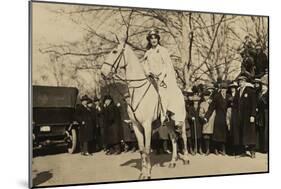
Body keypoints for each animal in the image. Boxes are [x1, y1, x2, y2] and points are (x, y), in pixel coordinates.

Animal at [100, 43, 188, 180]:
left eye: (114, 51)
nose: (102, 72)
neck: (138, 91)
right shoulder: (136, 126)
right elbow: (141, 150)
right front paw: (142, 173)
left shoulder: (147, 125)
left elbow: (147, 149)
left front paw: (147, 174)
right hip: (168, 122)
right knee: (174, 138)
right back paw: (173, 162)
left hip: (180, 120)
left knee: (183, 136)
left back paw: (187, 158)